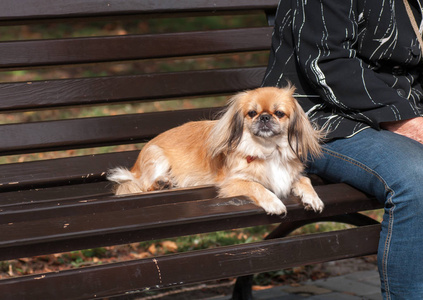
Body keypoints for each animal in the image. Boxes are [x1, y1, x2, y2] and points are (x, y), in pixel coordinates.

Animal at [108, 85, 324, 214]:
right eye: (251, 113)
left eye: (279, 113)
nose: (264, 117)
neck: (268, 150)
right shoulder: (232, 182)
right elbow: (257, 186)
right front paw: (274, 203)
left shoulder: (291, 175)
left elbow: (304, 180)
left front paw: (313, 198)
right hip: (157, 155)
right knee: (143, 185)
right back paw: (162, 183)